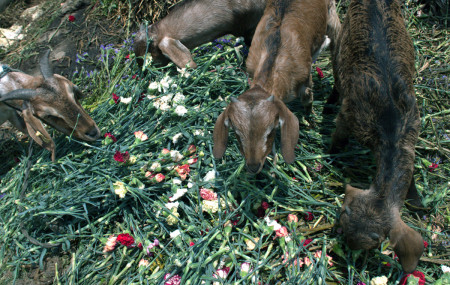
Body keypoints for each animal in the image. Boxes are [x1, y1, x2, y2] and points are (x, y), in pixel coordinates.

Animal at [213, 0, 340, 173]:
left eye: (270, 132)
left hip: (332, 14)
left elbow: (308, 100)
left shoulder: (305, 80)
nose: (253, 167)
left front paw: (311, 120)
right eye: (237, 134)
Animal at [332, 0, 424, 272]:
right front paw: (332, 155)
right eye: (342, 220)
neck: (390, 132)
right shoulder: (350, 113)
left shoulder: (413, 126)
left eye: (377, 239)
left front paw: (418, 203)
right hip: (341, 37)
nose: (349, 247)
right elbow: (338, 137)